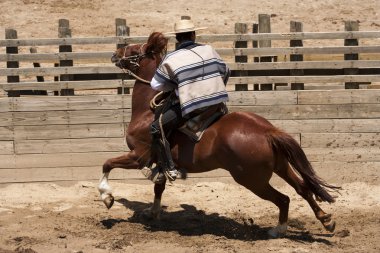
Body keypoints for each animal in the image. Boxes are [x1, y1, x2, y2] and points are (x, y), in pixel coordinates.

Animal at [98, 31, 338, 237]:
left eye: (133, 49)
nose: (115, 54)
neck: (148, 112)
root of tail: (267, 131)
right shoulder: (160, 161)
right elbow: (159, 186)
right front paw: (153, 212)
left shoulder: (138, 156)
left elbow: (107, 164)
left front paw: (107, 197)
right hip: (281, 166)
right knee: (303, 189)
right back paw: (326, 220)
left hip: (253, 179)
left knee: (284, 198)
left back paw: (278, 230)